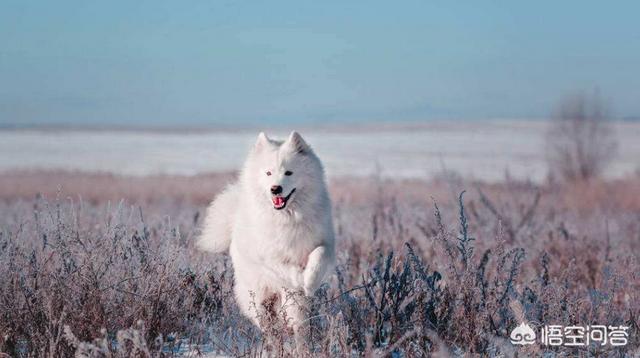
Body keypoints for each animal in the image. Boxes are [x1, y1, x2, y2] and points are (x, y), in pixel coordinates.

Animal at [198, 131, 338, 330]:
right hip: (257, 297)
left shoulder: (325, 243)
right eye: (268, 173)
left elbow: (319, 255)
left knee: (297, 322)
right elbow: (285, 268)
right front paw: (299, 278)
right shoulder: (268, 255)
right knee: (266, 324)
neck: (287, 218)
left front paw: (310, 281)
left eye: (288, 172)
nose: (275, 188)